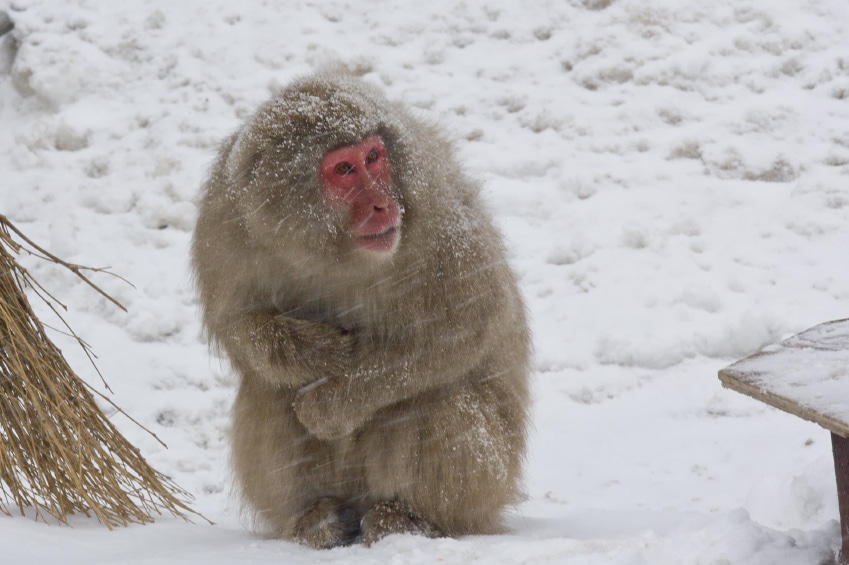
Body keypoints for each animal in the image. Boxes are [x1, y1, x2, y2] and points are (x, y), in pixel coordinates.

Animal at [192, 70, 528, 548]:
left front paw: (330, 405)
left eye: (373, 157)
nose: (383, 204)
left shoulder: (435, 207)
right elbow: (237, 324)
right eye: (344, 170)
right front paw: (309, 350)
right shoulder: (225, 217)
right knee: (268, 388)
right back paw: (318, 517)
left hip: (488, 482)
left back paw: (411, 518)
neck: (331, 249)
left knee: (431, 395)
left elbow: (466, 319)